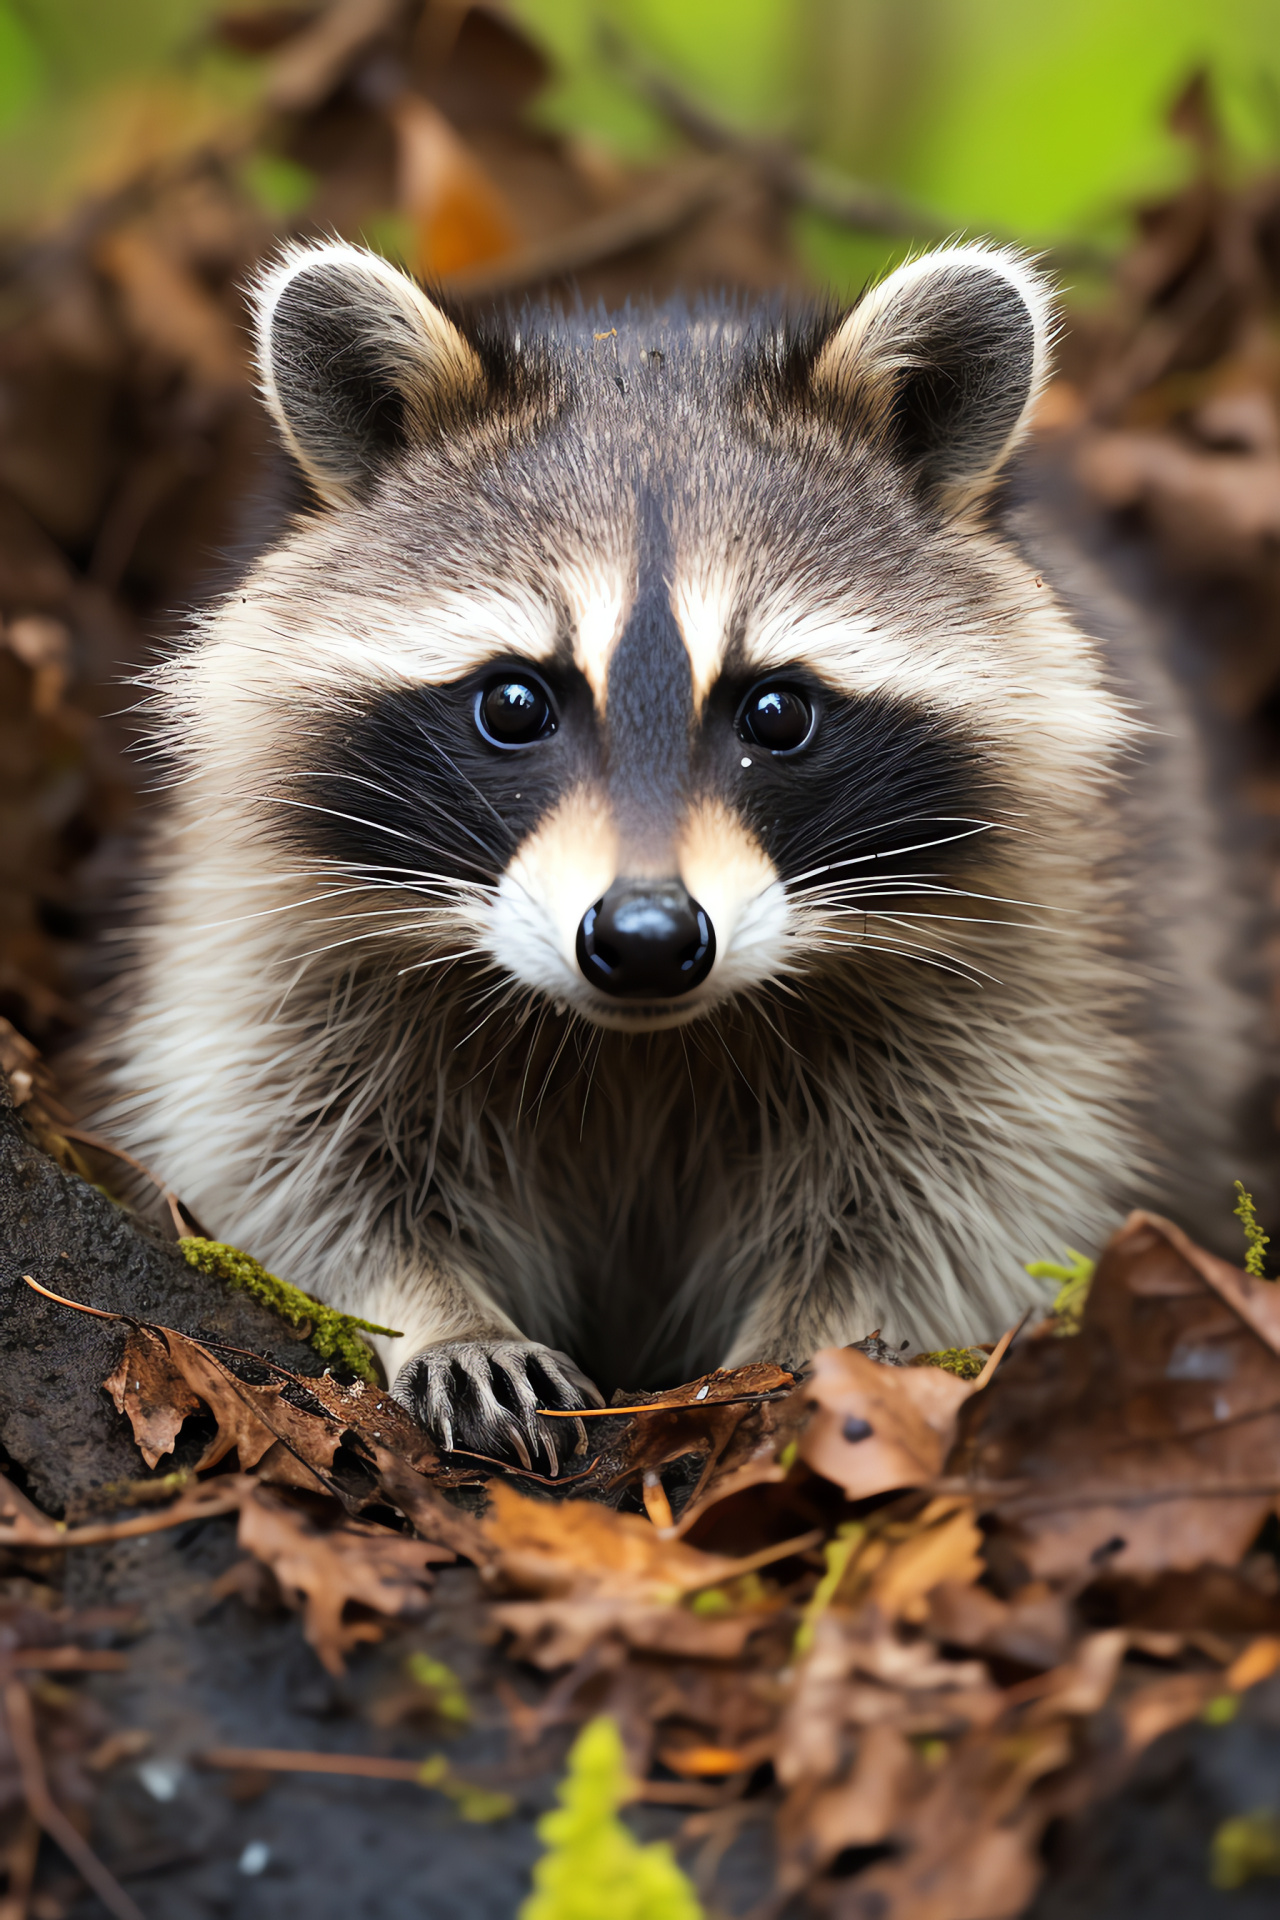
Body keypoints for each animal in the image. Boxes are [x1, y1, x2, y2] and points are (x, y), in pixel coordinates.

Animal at [87, 240, 1258, 1466]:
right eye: (514, 702)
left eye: (777, 712)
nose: (645, 940)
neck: (636, 1045)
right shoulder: (268, 920)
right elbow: (285, 1152)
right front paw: (437, 1309)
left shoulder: (1028, 959)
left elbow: (959, 1192)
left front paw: (807, 1352)